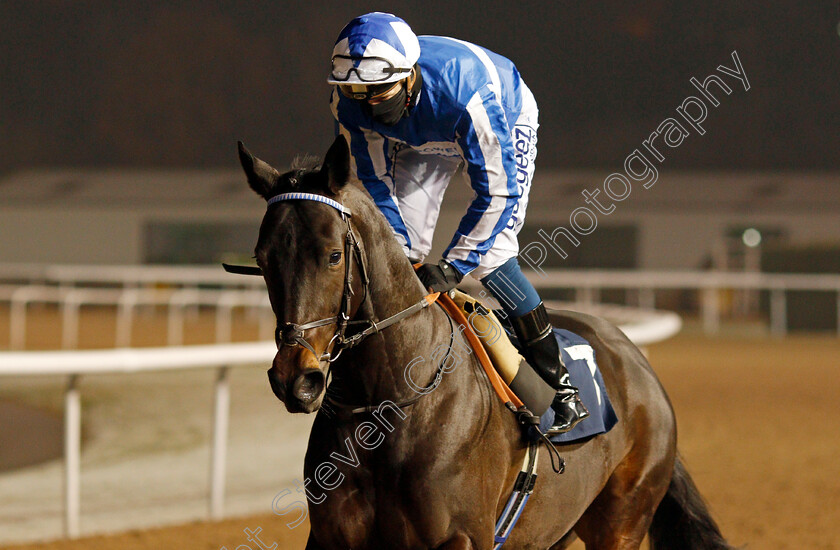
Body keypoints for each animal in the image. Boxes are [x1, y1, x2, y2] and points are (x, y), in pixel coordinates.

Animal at [233, 135, 732, 550]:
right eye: (263, 259)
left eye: (334, 255)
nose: (295, 378)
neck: (391, 404)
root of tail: (638, 364)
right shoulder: (331, 538)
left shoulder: (462, 537)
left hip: (623, 521)